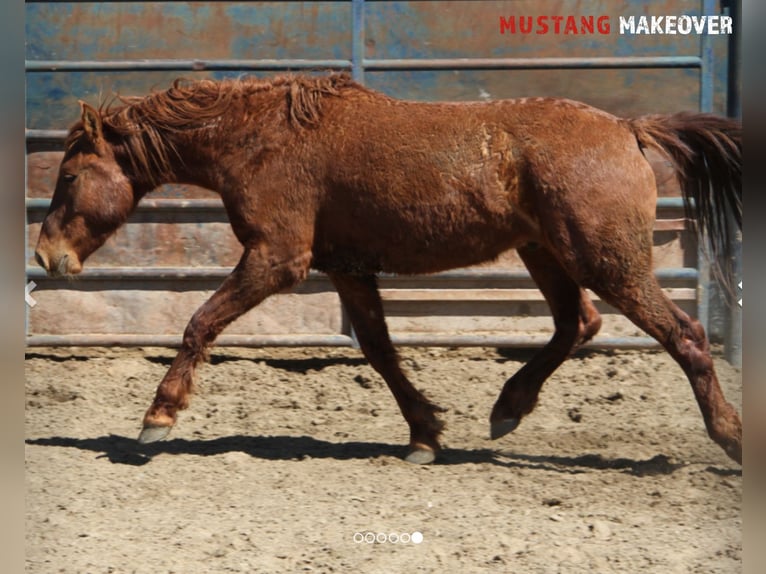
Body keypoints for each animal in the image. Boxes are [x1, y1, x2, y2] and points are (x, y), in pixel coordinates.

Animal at [36, 74, 744, 466]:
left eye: (68, 177)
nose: (47, 257)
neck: (260, 138)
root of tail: (629, 129)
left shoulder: (277, 259)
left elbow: (199, 323)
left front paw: (157, 419)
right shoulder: (347, 269)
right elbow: (379, 351)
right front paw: (425, 435)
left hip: (605, 259)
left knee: (682, 334)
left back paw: (731, 437)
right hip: (547, 252)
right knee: (578, 323)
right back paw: (507, 408)